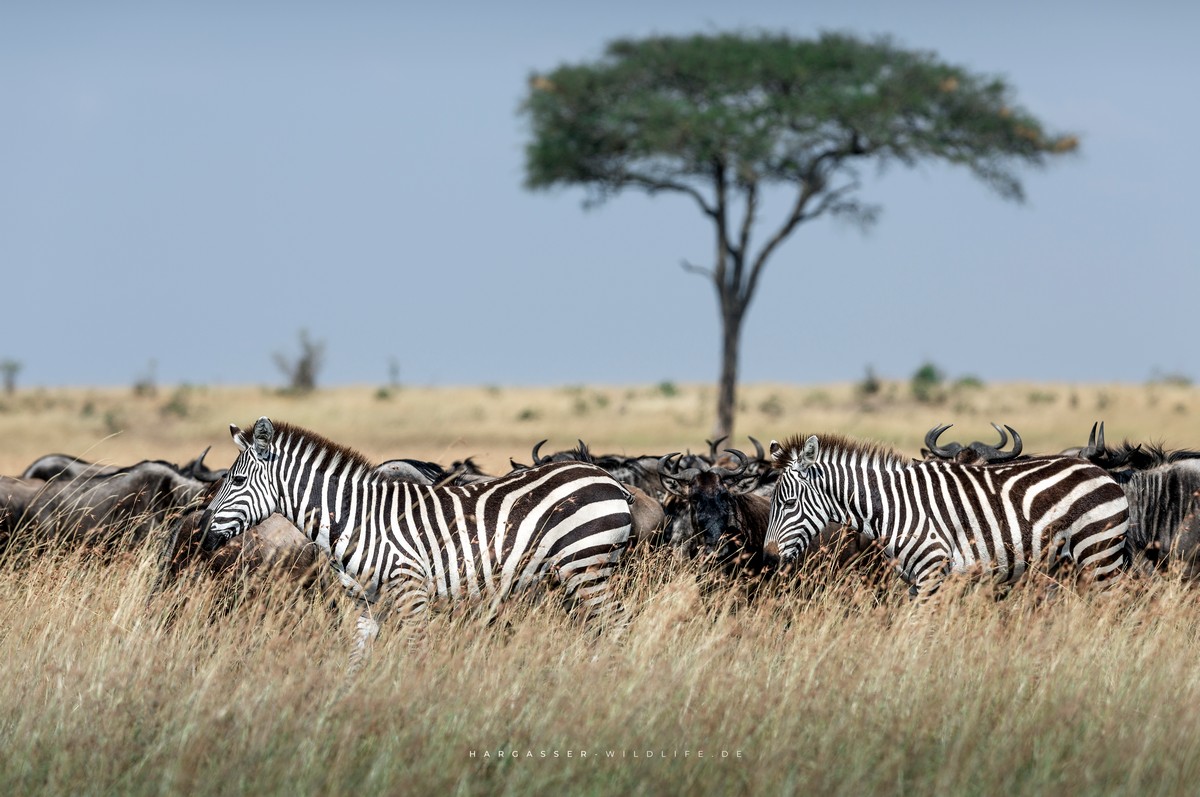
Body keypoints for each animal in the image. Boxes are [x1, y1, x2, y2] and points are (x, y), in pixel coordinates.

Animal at [201, 417, 633, 667]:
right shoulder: (366, 605)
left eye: (237, 481)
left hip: (587, 565)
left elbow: (415, 655)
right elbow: (355, 663)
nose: (203, 535)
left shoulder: (413, 594)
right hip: (578, 572)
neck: (356, 520)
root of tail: (608, 478)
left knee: (618, 624)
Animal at [763, 432, 1128, 595]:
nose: (767, 557)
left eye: (788, 503)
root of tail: (1099, 469)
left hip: (1099, 555)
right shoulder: (916, 581)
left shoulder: (932, 572)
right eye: (771, 500)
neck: (894, 507)